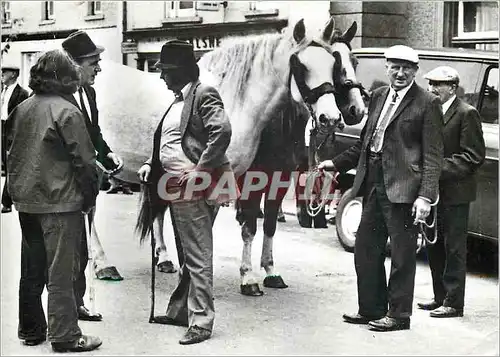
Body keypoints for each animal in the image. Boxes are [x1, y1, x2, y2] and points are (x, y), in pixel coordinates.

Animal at [139, 16, 366, 294]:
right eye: (301, 67)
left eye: (351, 61)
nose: (341, 115)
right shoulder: (249, 180)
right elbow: (248, 225)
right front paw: (248, 277)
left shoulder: (279, 179)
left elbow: (268, 224)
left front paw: (270, 271)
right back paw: (163, 257)